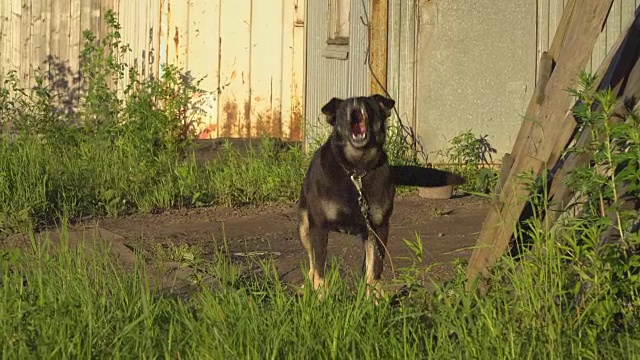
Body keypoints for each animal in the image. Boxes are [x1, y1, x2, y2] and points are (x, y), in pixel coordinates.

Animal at [298, 93, 396, 298]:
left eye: (369, 105)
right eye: (344, 110)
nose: (356, 102)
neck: (356, 169)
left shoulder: (378, 227)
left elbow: (375, 268)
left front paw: (373, 296)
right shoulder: (318, 226)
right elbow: (319, 266)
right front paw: (321, 295)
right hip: (303, 226)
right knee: (310, 259)